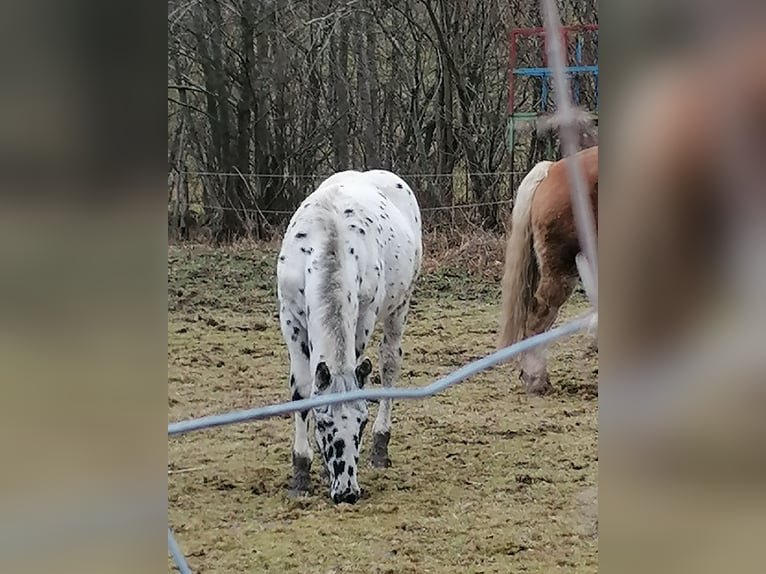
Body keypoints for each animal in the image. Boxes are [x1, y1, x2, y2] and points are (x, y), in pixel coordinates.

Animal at [276, 170, 424, 504]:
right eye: (323, 422)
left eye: (362, 422)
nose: (347, 493)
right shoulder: (290, 318)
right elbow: (301, 390)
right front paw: (301, 473)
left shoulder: (364, 318)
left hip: (400, 307)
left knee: (389, 365)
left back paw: (381, 447)